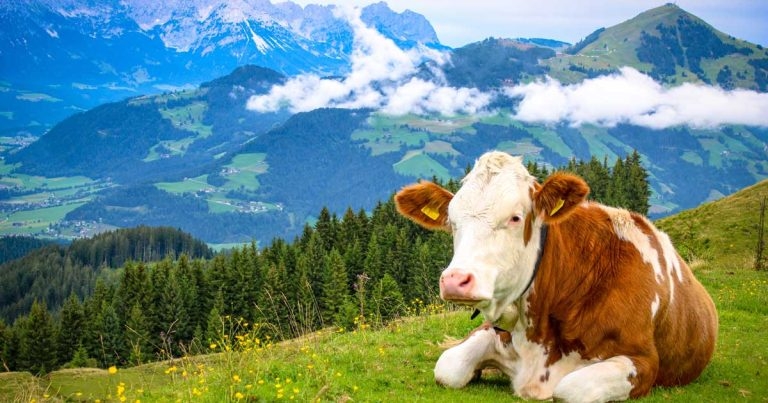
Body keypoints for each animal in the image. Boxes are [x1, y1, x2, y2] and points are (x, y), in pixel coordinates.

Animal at [394, 151, 717, 402]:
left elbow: (569, 389)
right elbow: (448, 366)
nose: (455, 280)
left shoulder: (644, 360)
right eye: (452, 222)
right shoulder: (494, 332)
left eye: (515, 217)